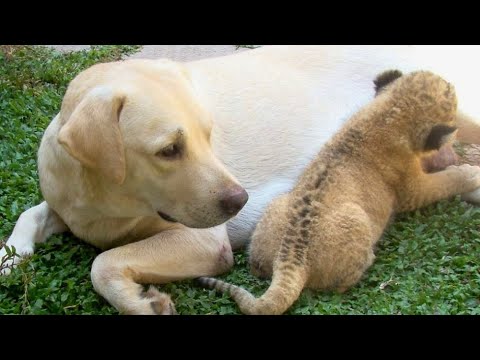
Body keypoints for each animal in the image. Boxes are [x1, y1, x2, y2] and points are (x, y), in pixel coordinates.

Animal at [2, 45, 480, 316]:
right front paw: (12, 255)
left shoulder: (202, 241)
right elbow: (31, 213)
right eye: (169, 150)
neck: (108, 199)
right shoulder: (69, 203)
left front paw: (140, 303)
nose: (240, 200)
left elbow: (102, 263)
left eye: (208, 134)